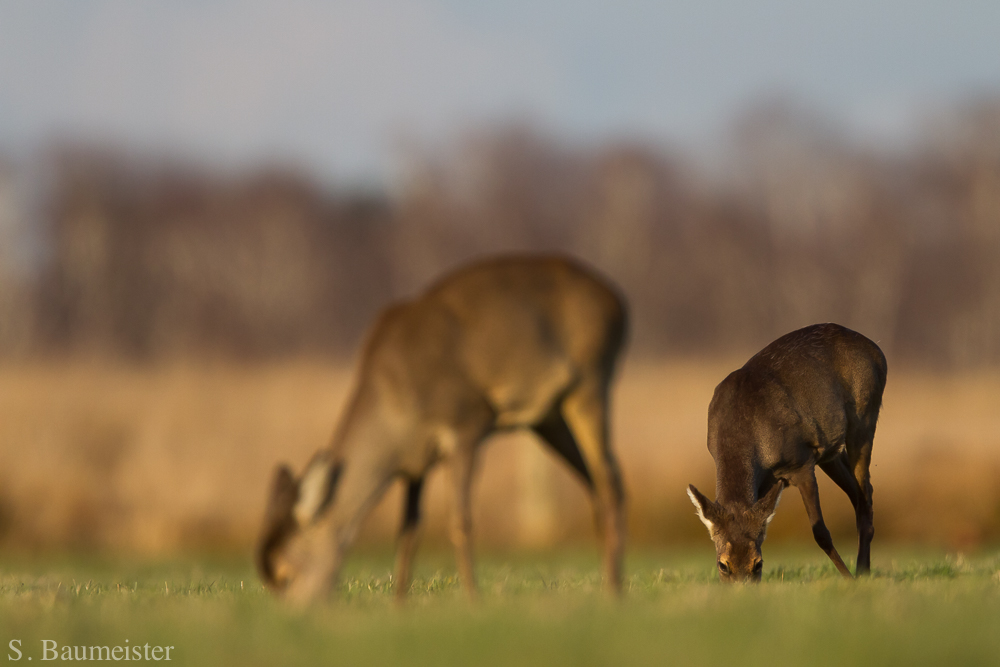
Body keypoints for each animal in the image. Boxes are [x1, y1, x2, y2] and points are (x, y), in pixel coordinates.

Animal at [260, 256, 632, 604]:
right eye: (268, 581)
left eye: (285, 575)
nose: (293, 616)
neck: (394, 403)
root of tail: (618, 301)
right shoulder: (415, 460)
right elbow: (408, 531)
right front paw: (399, 606)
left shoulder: (466, 422)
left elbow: (460, 519)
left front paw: (473, 599)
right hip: (547, 418)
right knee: (595, 483)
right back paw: (608, 583)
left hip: (591, 380)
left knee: (611, 480)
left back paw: (615, 592)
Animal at [688, 326, 892, 580]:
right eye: (723, 565)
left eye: (758, 564)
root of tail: (877, 350)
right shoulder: (768, 481)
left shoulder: (801, 463)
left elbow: (820, 532)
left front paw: (847, 577)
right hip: (830, 452)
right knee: (860, 492)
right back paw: (865, 568)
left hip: (864, 419)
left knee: (864, 495)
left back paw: (862, 573)